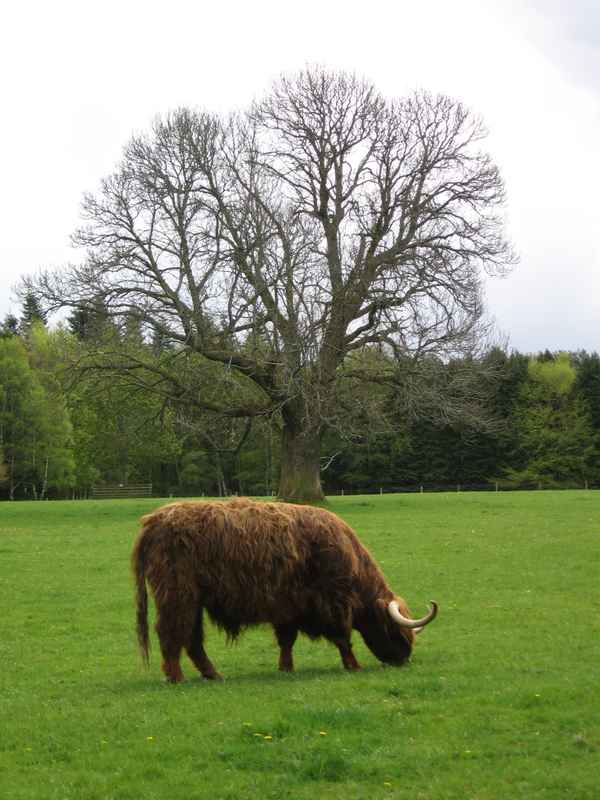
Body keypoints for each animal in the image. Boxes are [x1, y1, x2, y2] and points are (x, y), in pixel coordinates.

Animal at [131, 497, 437, 682]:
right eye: (394, 630)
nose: (403, 659)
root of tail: (155, 520)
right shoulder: (333, 602)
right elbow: (342, 637)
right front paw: (353, 665)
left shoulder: (288, 606)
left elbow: (286, 640)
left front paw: (286, 668)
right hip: (178, 594)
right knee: (172, 632)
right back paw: (176, 677)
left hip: (193, 600)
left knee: (191, 637)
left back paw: (212, 674)